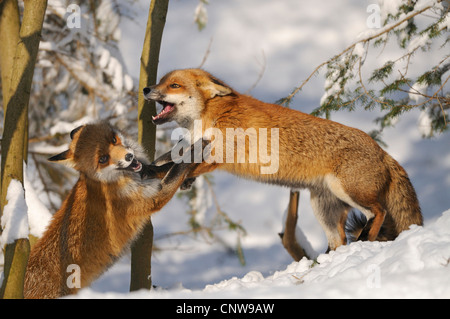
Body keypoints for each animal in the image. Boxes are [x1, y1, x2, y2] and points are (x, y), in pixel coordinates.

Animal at [22, 122, 202, 300]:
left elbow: (165, 167)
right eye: (103, 159)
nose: (128, 157)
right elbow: (175, 171)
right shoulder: (151, 198)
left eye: (114, 140)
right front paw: (194, 153)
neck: (110, 182)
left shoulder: (146, 175)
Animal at [143, 69, 422, 252]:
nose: (146, 89)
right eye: (160, 81)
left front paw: (167, 176)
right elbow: (168, 162)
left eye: (174, 85)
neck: (214, 115)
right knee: (339, 240)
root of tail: (384, 152)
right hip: (324, 208)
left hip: (351, 192)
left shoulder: (220, 154)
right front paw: (152, 171)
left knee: (379, 212)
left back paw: (364, 241)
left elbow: (177, 166)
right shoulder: (197, 147)